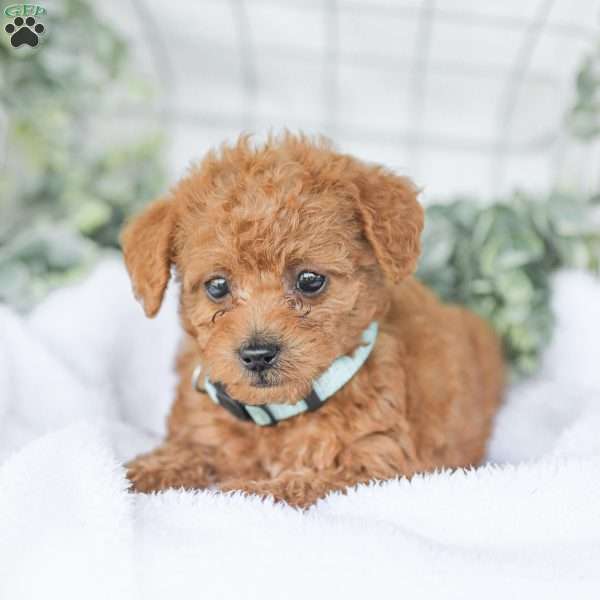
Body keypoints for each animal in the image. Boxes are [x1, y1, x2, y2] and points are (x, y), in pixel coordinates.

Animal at [122, 135, 506, 506]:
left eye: (309, 280)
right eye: (217, 286)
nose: (257, 354)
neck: (279, 413)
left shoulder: (376, 464)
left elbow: (299, 484)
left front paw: (241, 491)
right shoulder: (201, 433)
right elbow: (186, 452)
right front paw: (139, 472)